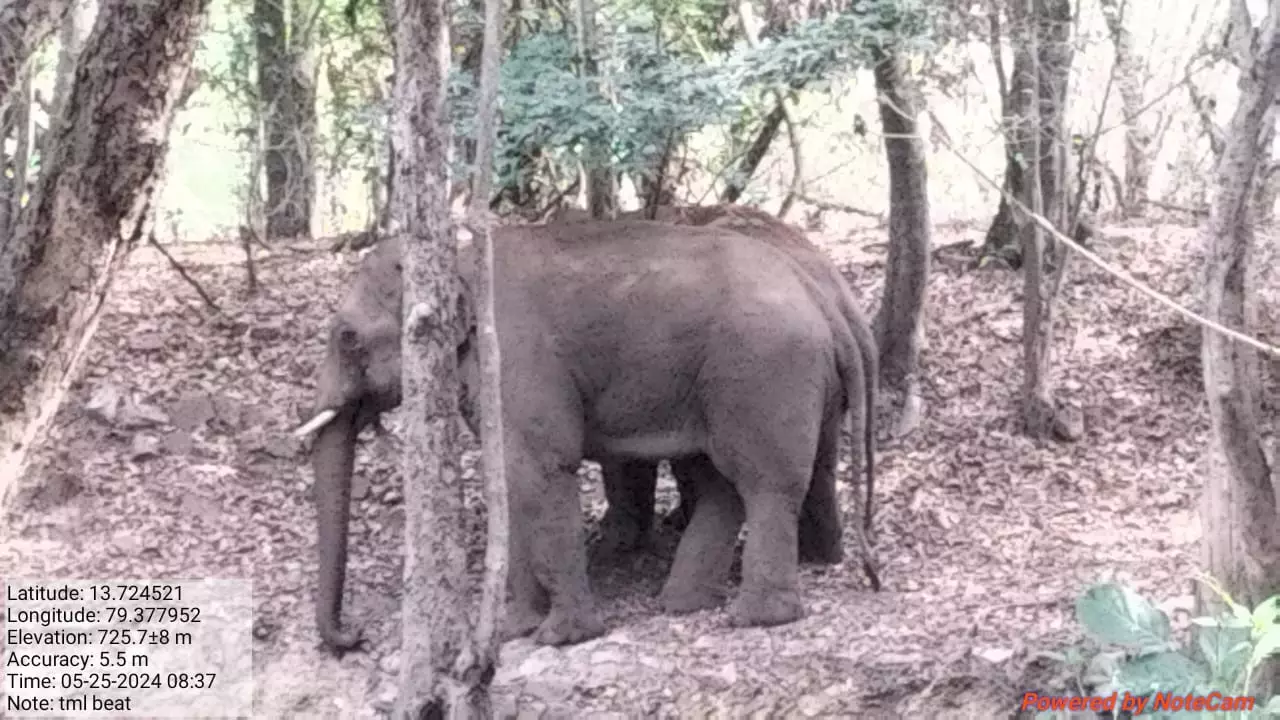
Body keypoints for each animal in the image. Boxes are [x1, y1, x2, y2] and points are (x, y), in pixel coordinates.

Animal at [296, 219, 880, 650]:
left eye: (346, 338)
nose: (355, 635)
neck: (457, 262)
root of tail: (823, 296)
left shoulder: (519, 357)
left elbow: (541, 470)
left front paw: (560, 637)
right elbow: (512, 482)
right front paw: (516, 629)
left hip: (762, 370)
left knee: (763, 483)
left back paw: (757, 618)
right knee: (723, 482)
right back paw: (685, 604)